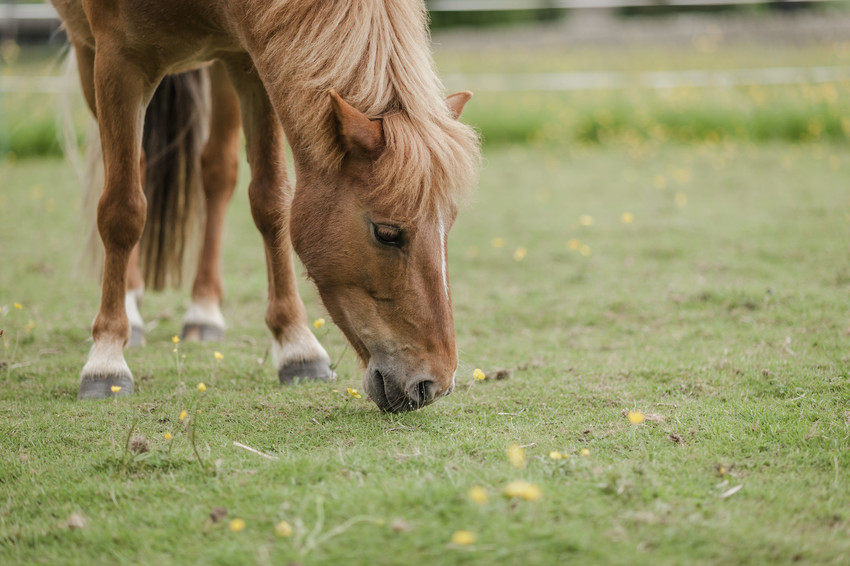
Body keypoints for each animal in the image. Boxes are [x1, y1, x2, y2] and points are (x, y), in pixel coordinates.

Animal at [49, 0, 480, 410]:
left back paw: (203, 310)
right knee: (135, 171)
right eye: (387, 233)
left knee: (217, 171)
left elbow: (271, 201)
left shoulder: (253, 59)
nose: (434, 384)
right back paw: (132, 310)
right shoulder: (114, 61)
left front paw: (296, 347)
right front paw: (106, 358)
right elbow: (122, 210)